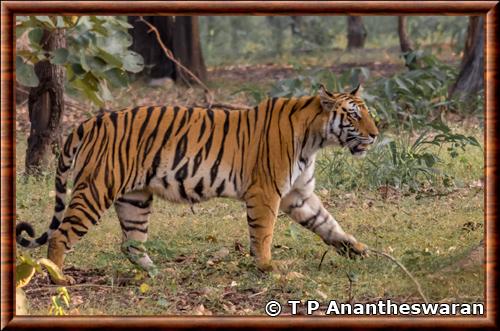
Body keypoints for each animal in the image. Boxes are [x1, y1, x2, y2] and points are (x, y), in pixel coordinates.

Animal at [17, 85, 380, 286]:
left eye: (367, 113)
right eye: (353, 115)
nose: (376, 134)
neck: (315, 138)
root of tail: (91, 121)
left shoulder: (298, 195)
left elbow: (328, 223)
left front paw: (356, 248)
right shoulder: (266, 192)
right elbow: (263, 233)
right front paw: (268, 267)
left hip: (135, 199)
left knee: (131, 244)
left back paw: (158, 273)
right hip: (96, 189)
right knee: (62, 235)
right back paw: (58, 278)